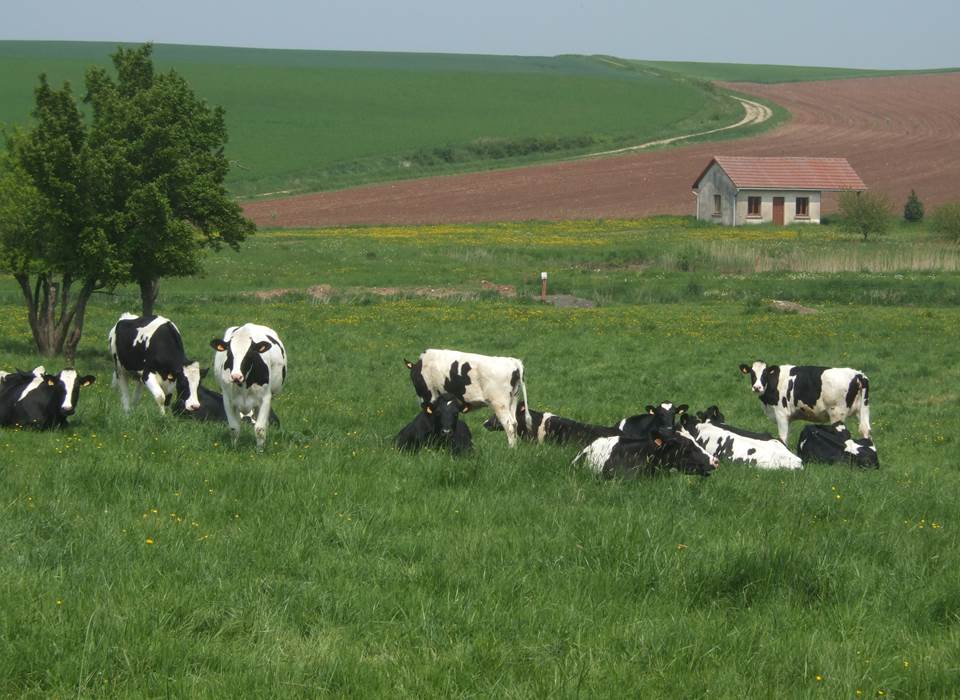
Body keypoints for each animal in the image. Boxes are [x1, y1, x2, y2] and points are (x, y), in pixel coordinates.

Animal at [739, 361, 871, 443]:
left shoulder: (781, 413)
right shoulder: (789, 417)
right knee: (865, 430)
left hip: (837, 413)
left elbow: (782, 437)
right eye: (752, 374)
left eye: (765, 373)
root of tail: (857, 374)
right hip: (861, 410)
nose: (757, 387)